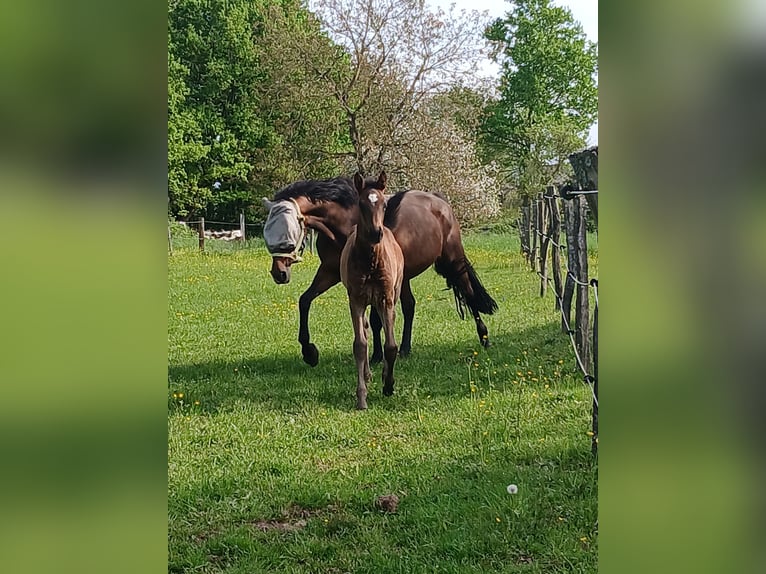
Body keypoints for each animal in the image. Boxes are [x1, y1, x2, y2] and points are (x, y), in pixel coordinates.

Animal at [262, 176, 498, 366]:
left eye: (289, 230)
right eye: (267, 231)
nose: (279, 273)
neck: (347, 227)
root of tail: (439, 201)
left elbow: (375, 320)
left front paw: (376, 356)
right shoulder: (330, 273)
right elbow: (305, 301)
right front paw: (309, 352)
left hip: (453, 259)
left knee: (467, 291)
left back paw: (484, 337)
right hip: (405, 278)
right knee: (410, 306)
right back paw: (405, 348)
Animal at [340, 171, 404, 410]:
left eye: (384, 204)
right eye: (361, 203)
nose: (376, 233)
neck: (371, 262)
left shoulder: (386, 299)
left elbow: (391, 346)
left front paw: (389, 385)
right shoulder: (356, 300)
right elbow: (360, 344)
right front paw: (361, 397)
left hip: (392, 295)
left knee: (388, 324)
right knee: (366, 329)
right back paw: (367, 375)